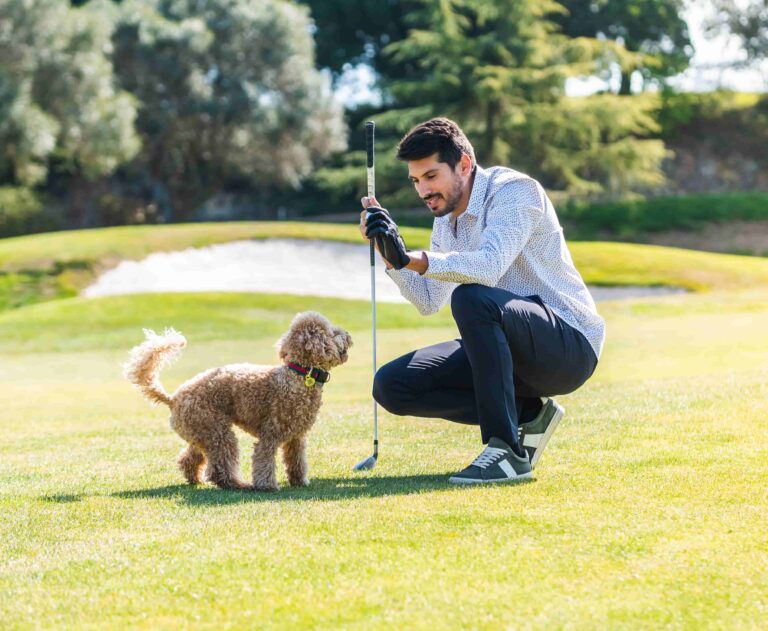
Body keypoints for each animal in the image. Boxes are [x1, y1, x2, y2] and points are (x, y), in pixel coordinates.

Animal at [124, 314, 354, 492]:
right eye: (332, 332)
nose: (348, 334)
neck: (299, 374)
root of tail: (173, 398)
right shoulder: (270, 433)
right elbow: (264, 459)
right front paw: (267, 486)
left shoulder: (296, 437)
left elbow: (296, 460)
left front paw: (299, 481)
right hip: (217, 431)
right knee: (220, 468)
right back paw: (237, 484)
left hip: (202, 432)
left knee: (189, 458)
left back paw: (194, 478)